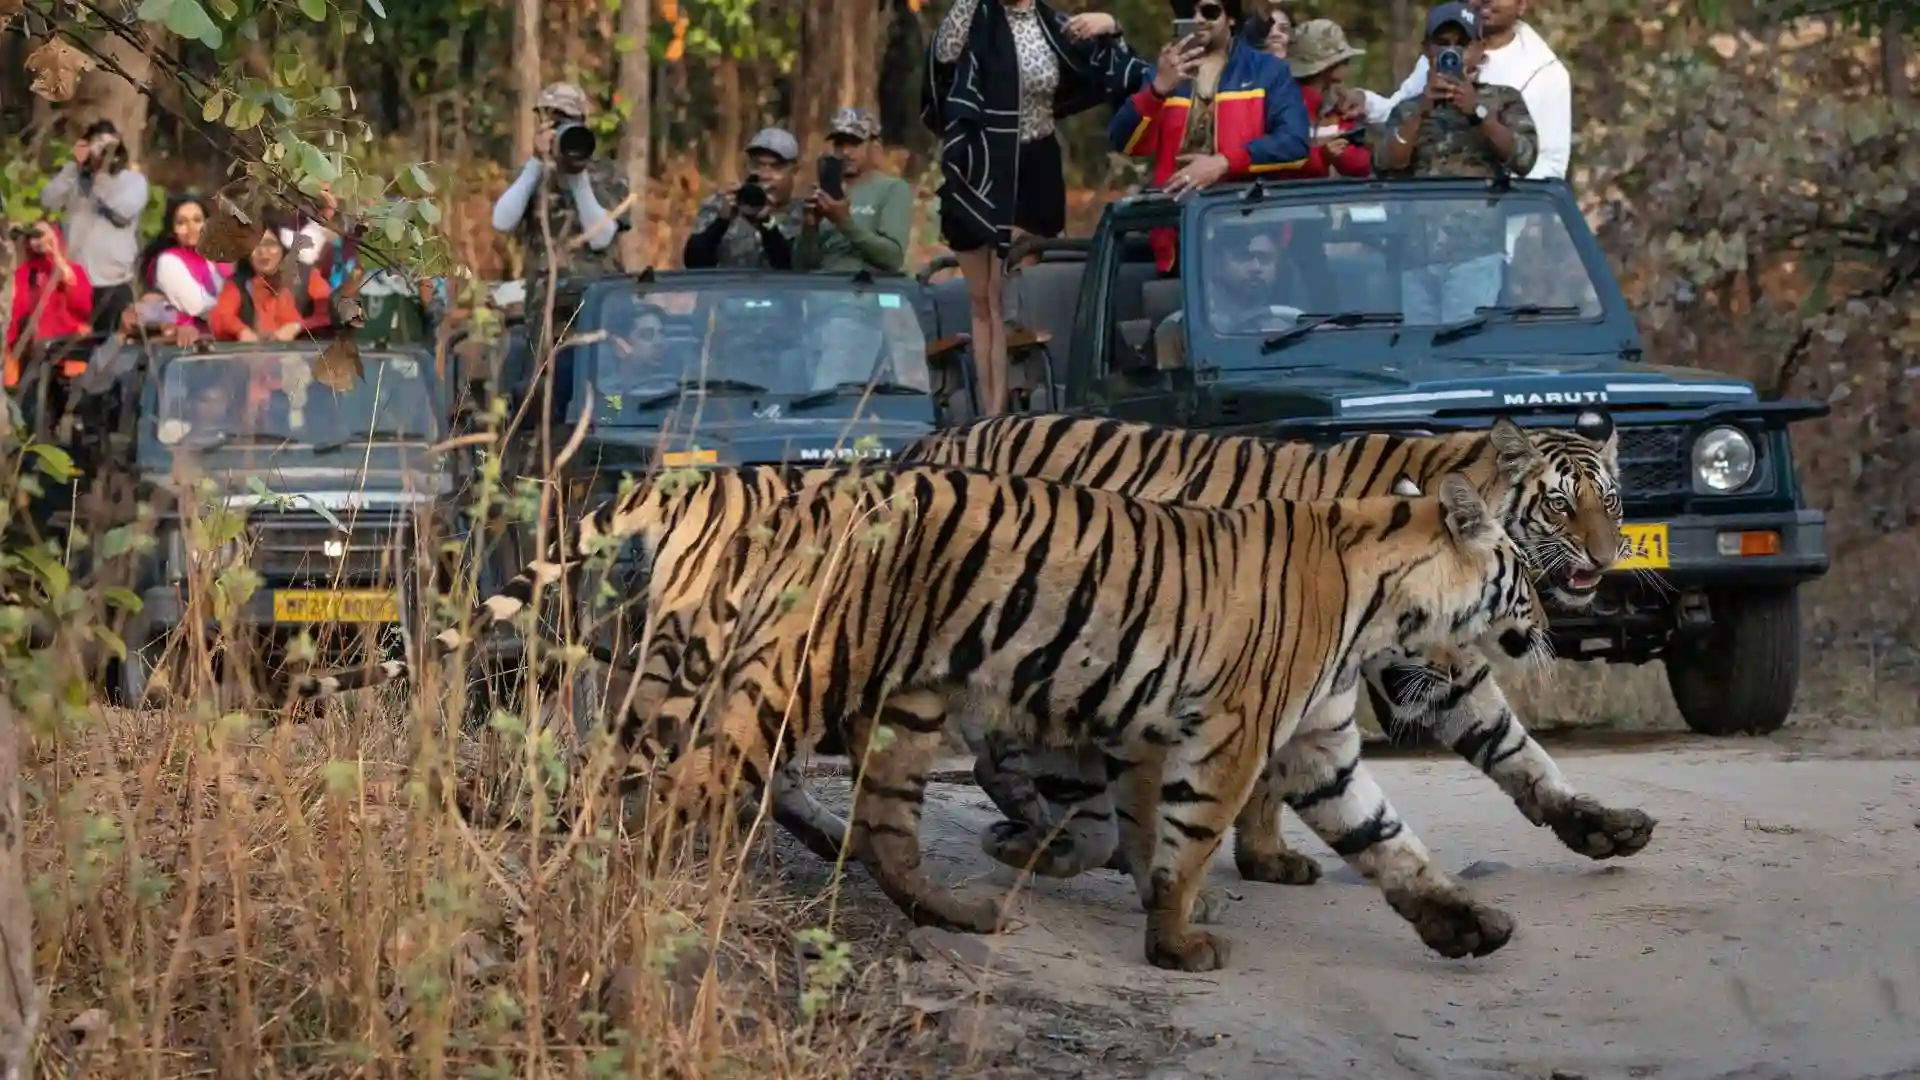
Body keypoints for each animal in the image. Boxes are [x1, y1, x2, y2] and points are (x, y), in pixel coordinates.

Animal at [642, 464, 1550, 971]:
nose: (1544, 621)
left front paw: (1467, 927)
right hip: (805, 678)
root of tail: (798, 497)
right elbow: (1187, 839)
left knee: (884, 831)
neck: (1385, 606)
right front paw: (1177, 945)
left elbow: (1389, 843)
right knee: (690, 781)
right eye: (1519, 571)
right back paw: (655, 900)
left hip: (908, 702)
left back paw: (960, 913)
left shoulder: (1314, 743)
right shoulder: (1231, 733)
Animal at [890, 411, 1656, 885]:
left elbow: (1518, 752)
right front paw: (1267, 859)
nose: (1607, 556)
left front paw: (1599, 828)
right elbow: (1270, 774)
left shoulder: (1440, 672)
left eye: (1612, 502)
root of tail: (918, 447)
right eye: (1559, 505)